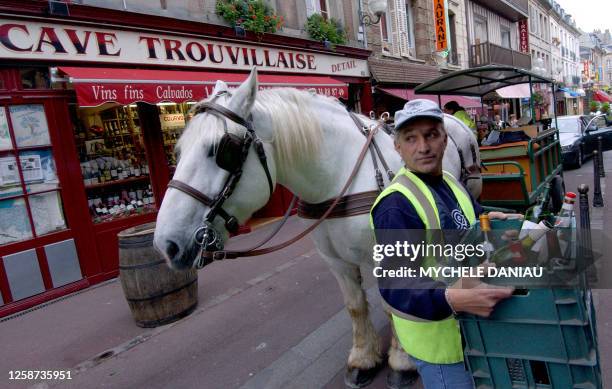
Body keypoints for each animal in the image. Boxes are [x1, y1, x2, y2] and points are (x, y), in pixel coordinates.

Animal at [155, 68, 480, 386]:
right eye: (178, 150)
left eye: (223, 149)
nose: (165, 244)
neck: (338, 178)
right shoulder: (334, 260)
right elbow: (355, 305)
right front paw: (363, 359)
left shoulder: (388, 256)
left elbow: (393, 304)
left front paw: (401, 362)